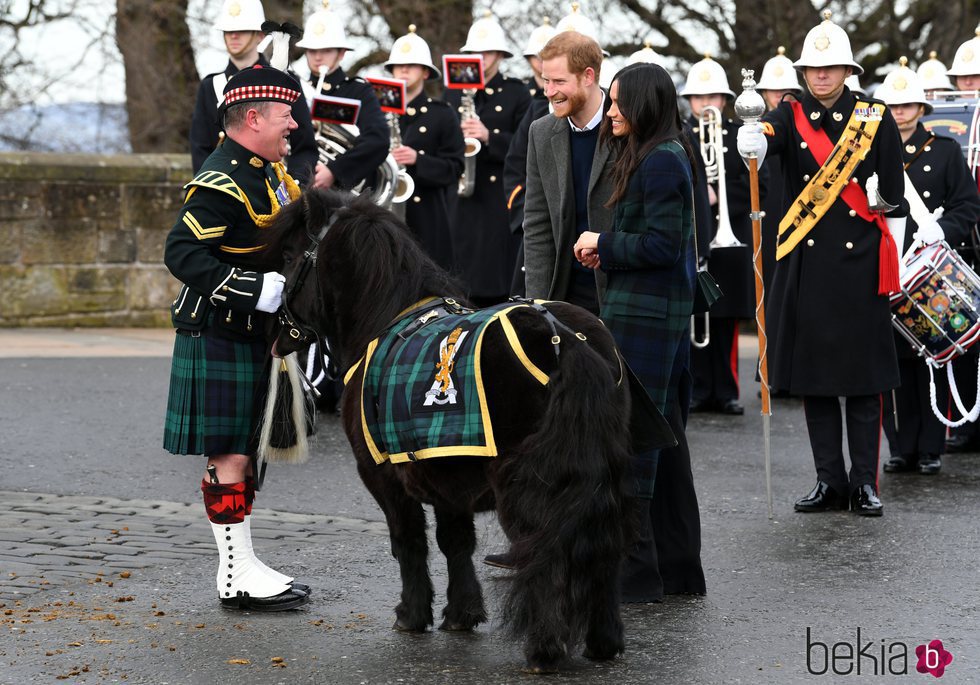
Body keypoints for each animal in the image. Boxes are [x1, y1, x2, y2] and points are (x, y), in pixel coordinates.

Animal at [264, 190, 640, 672]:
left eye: (290, 257)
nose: (275, 332)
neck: (385, 316)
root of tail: (563, 339)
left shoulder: (384, 475)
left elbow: (409, 540)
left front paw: (412, 614)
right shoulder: (446, 472)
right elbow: (456, 541)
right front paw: (462, 613)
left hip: (529, 484)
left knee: (544, 549)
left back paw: (544, 649)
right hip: (602, 476)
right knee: (602, 548)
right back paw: (604, 640)